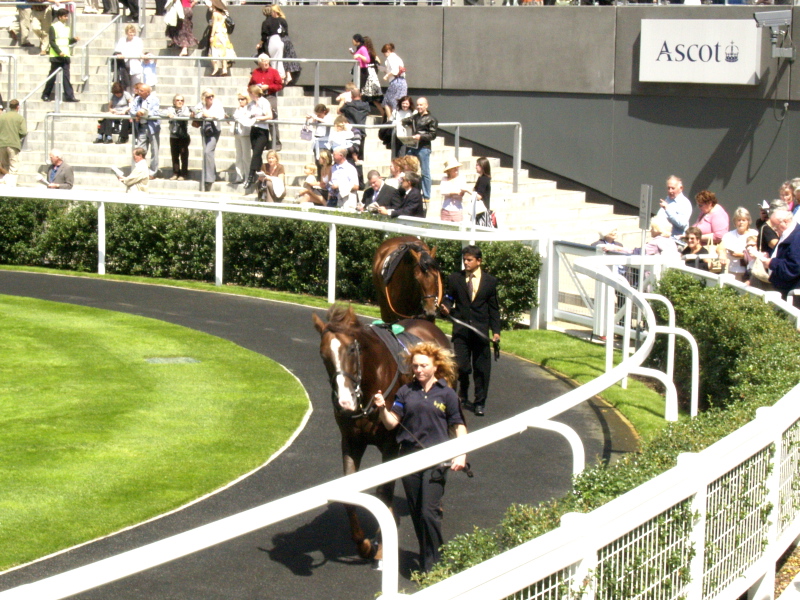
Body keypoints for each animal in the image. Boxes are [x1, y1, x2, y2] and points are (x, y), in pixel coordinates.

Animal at [312, 308, 450, 560]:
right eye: (323, 354)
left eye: (352, 349)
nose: (344, 402)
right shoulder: (351, 441)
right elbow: (350, 494)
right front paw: (364, 544)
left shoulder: (390, 444)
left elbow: (384, 491)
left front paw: (382, 546)